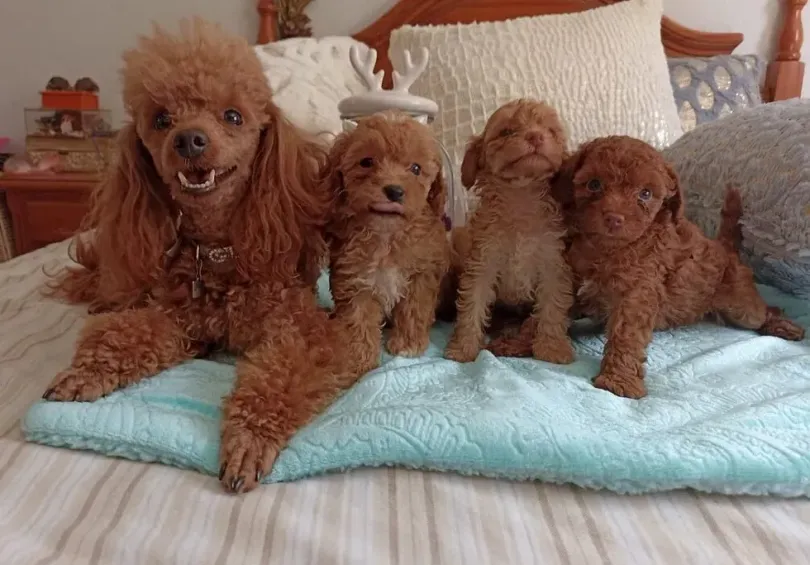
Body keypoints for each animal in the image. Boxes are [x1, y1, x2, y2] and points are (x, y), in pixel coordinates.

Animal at [43, 19, 360, 492]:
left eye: (233, 116)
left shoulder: (304, 331)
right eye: (161, 120)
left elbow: (278, 375)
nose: (189, 140)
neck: (217, 254)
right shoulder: (178, 321)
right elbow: (124, 334)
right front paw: (85, 372)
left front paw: (249, 439)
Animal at [324, 111, 448, 374]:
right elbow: (358, 317)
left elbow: (414, 309)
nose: (394, 191)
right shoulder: (355, 278)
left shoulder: (421, 275)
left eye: (416, 168)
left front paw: (408, 344)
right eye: (366, 162)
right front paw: (360, 355)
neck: (387, 234)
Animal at [442, 98, 576, 362]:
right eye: (506, 132)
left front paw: (552, 348)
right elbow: (472, 304)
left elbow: (553, 307)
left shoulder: (554, 263)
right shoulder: (483, 261)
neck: (521, 197)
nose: (536, 136)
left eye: (550, 131)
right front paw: (463, 347)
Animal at [552, 136, 804, 398]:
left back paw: (782, 325)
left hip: (740, 304)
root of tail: (723, 247)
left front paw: (618, 381)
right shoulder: (571, 278)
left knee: (764, 311)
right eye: (594, 184)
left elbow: (626, 335)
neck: (606, 248)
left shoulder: (636, 294)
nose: (614, 218)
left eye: (645, 194)